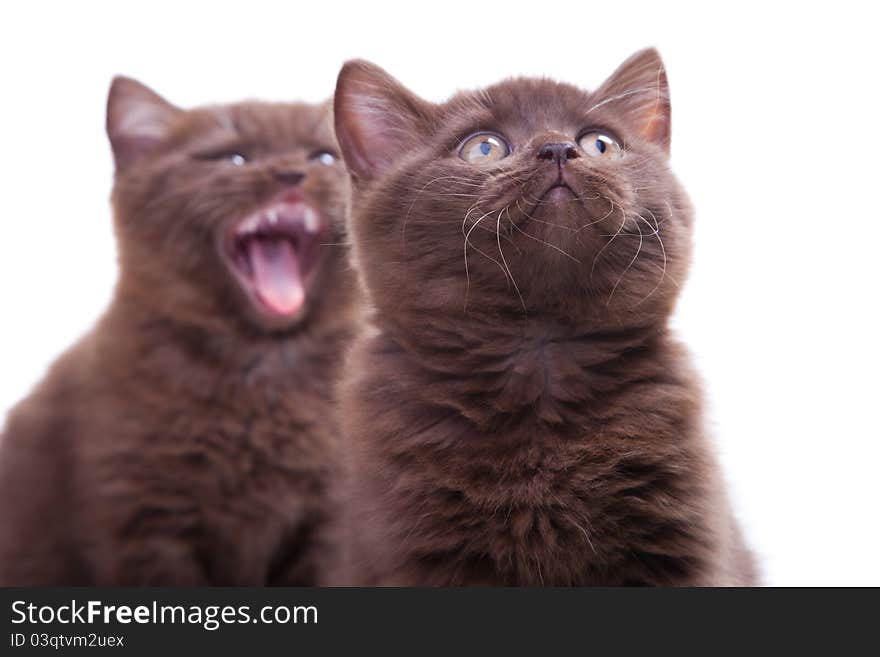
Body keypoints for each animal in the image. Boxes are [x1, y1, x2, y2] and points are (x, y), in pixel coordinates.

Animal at [0, 77, 360, 584]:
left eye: (324, 158)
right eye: (234, 158)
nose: (291, 174)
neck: (263, 371)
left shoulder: (329, 521)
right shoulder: (143, 519)